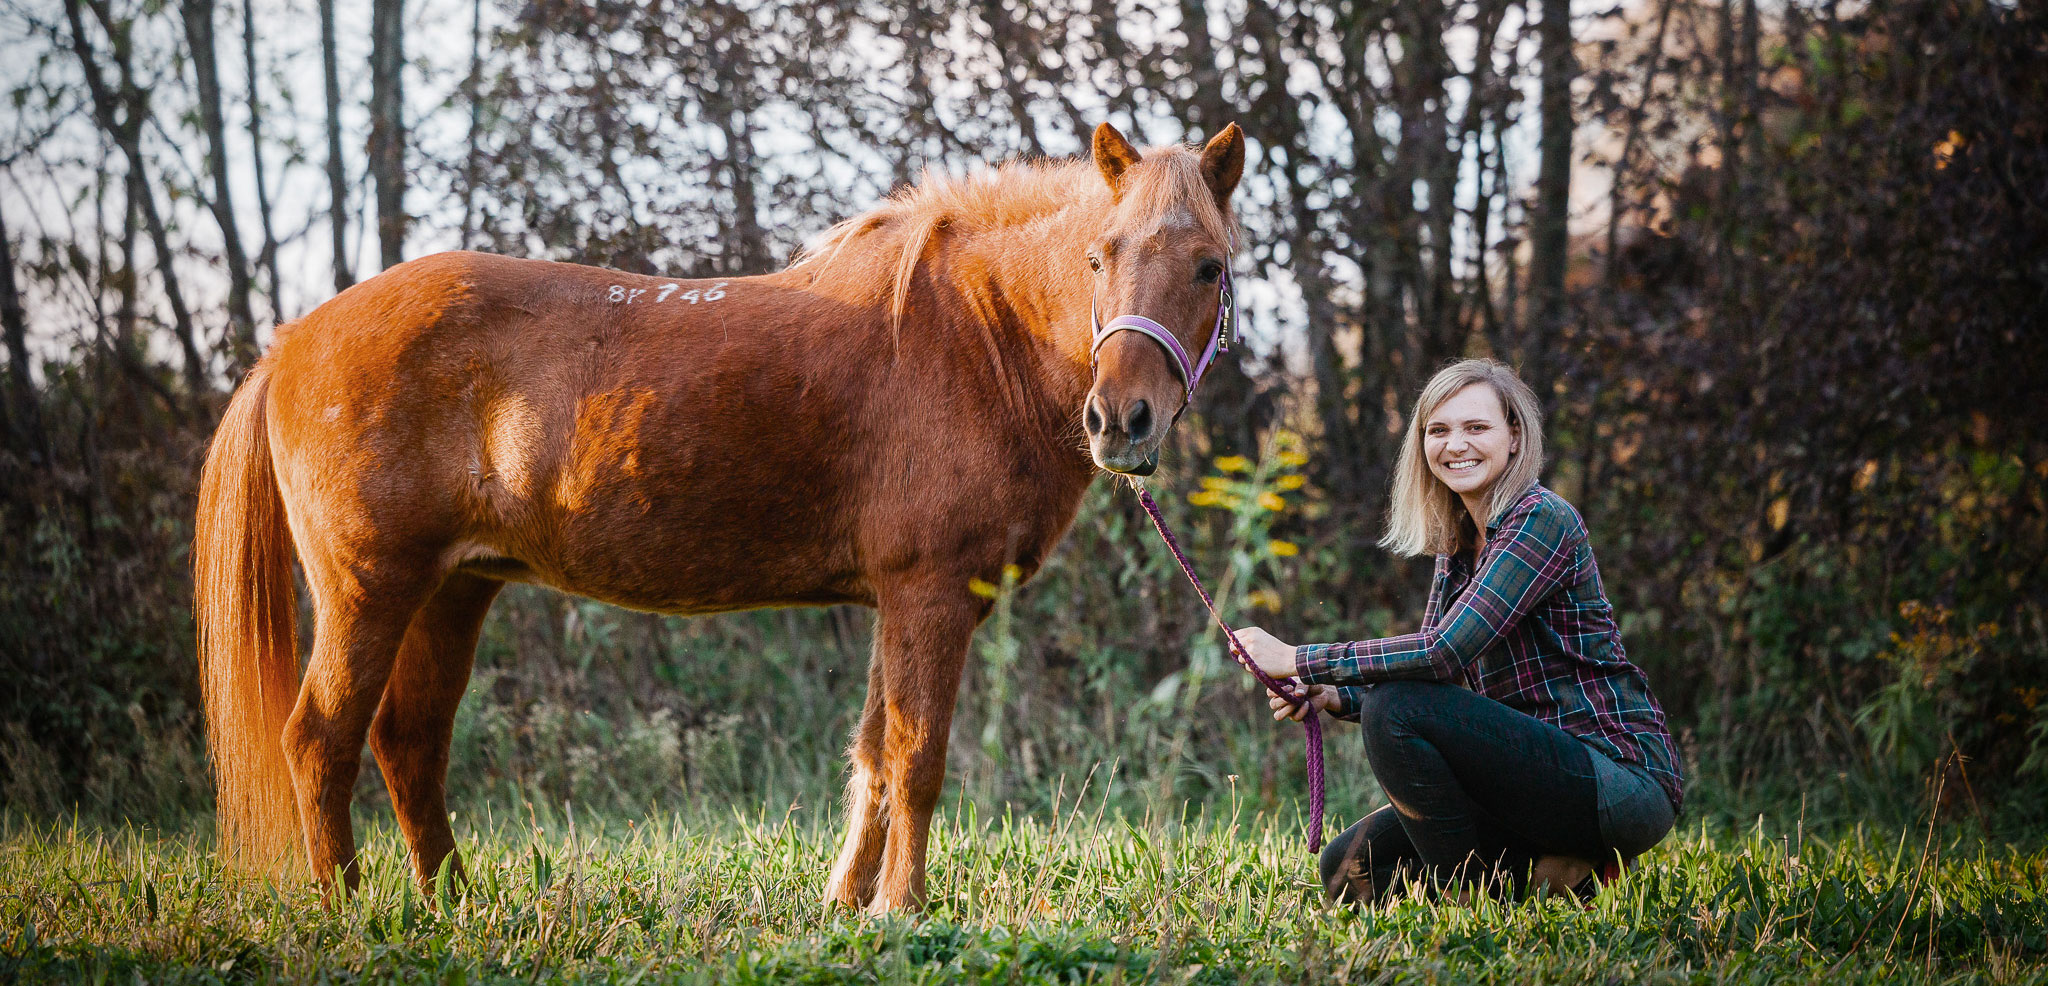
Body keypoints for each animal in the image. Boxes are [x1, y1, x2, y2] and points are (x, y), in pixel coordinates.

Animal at [192, 118, 1245, 910]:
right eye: (1098, 257)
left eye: (1208, 268)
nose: (1121, 420)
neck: (977, 335)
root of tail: (293, 341)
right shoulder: (928, 597)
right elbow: (915, 760)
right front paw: (903, 908)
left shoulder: (896, 605)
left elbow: (872, 759)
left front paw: (847, 904)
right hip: (371, 589)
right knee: (321, 739)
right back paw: (350, 911)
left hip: (454, 590)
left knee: (409, 744)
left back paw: (451, 901)